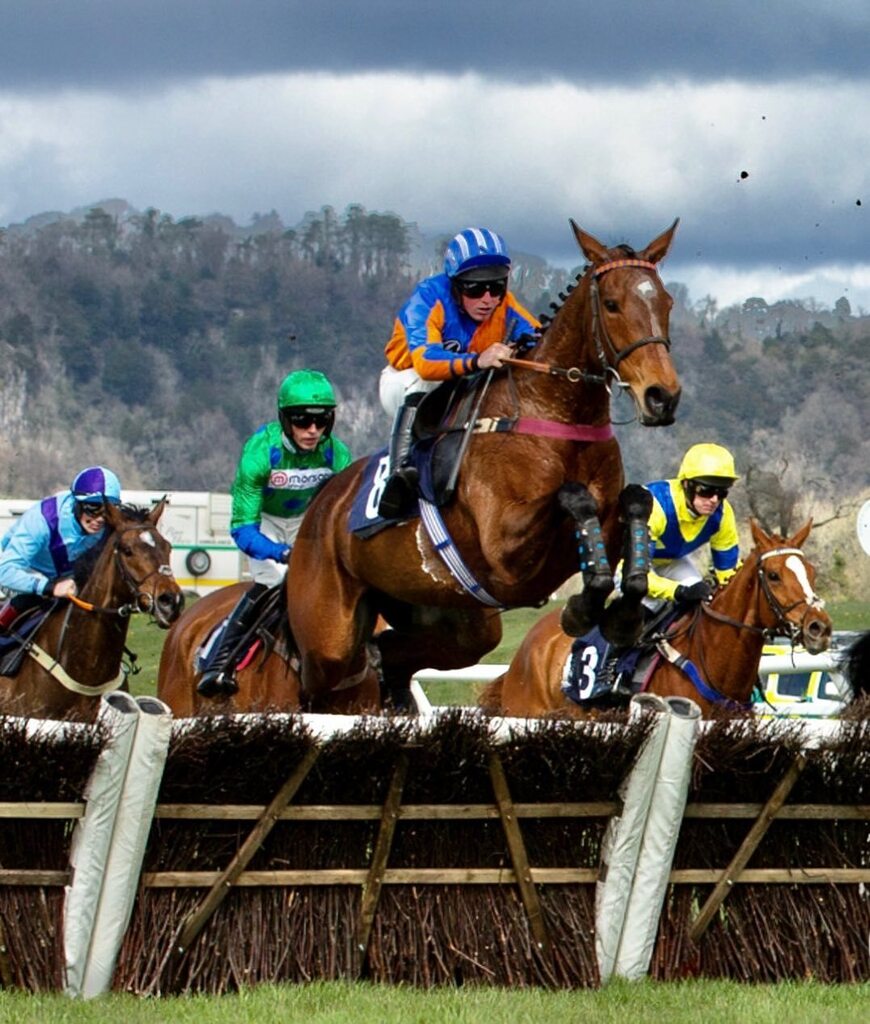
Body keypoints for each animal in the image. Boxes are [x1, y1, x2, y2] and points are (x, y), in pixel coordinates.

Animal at [290, 219, 683, 708]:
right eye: (611, 305)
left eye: (666, 303)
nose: (662, 397)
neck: (550, 411)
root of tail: (322, 503)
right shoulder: (506, 551)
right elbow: (574, 498)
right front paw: (580, 608)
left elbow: (634, 504)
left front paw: (620, 614)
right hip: (327, 639)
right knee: (323, 676)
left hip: (456, 621)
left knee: (391, 653)